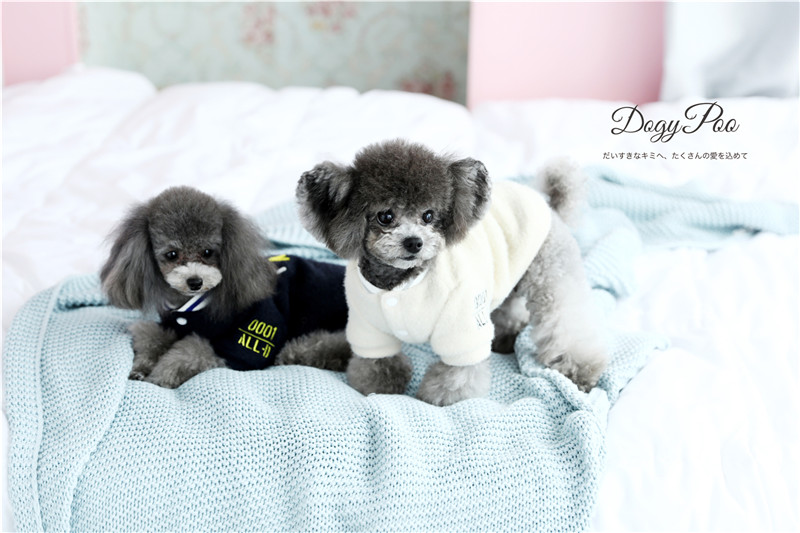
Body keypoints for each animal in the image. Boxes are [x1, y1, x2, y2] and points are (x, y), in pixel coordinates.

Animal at [100, 186, 351, 388]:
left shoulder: (247, 346)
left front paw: (161, 375)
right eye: (172, 255)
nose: (195, 281)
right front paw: (141, 367)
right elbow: (150, 336)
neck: (193, 307)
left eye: (208, 252)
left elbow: (192, 351)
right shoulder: (172, 326)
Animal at [296, 139, 607, 406]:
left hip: (551, 272)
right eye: (385, 216)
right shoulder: (369, 327)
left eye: (429, 216)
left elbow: (458, 376)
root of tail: (548, 203)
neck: (402, 282)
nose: (414, 242)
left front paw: (438, 399)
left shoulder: (463, 321)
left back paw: (578, 368)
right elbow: (376, 367)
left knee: (564, 322)